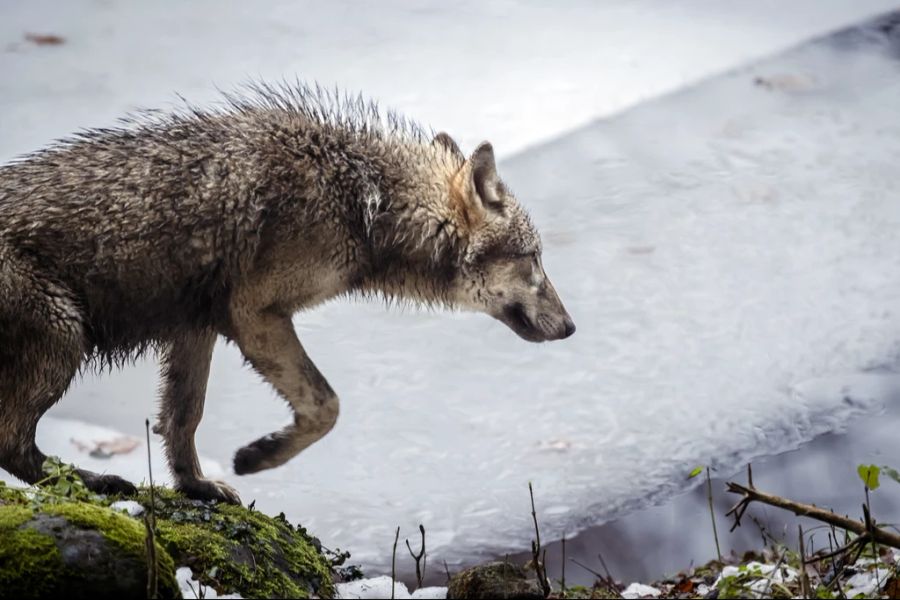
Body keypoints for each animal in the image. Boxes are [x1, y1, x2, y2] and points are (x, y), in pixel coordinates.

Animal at [0, 82, 576, 504]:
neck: (365, 203)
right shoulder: (254, 314)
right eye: (534, 260)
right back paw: (98, 484)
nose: (572, 327)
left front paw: (197, 487)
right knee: (12, 444)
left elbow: (182, 419)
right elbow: (327, 406)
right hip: (64, 339)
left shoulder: (198, 326)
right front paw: (259, 456)